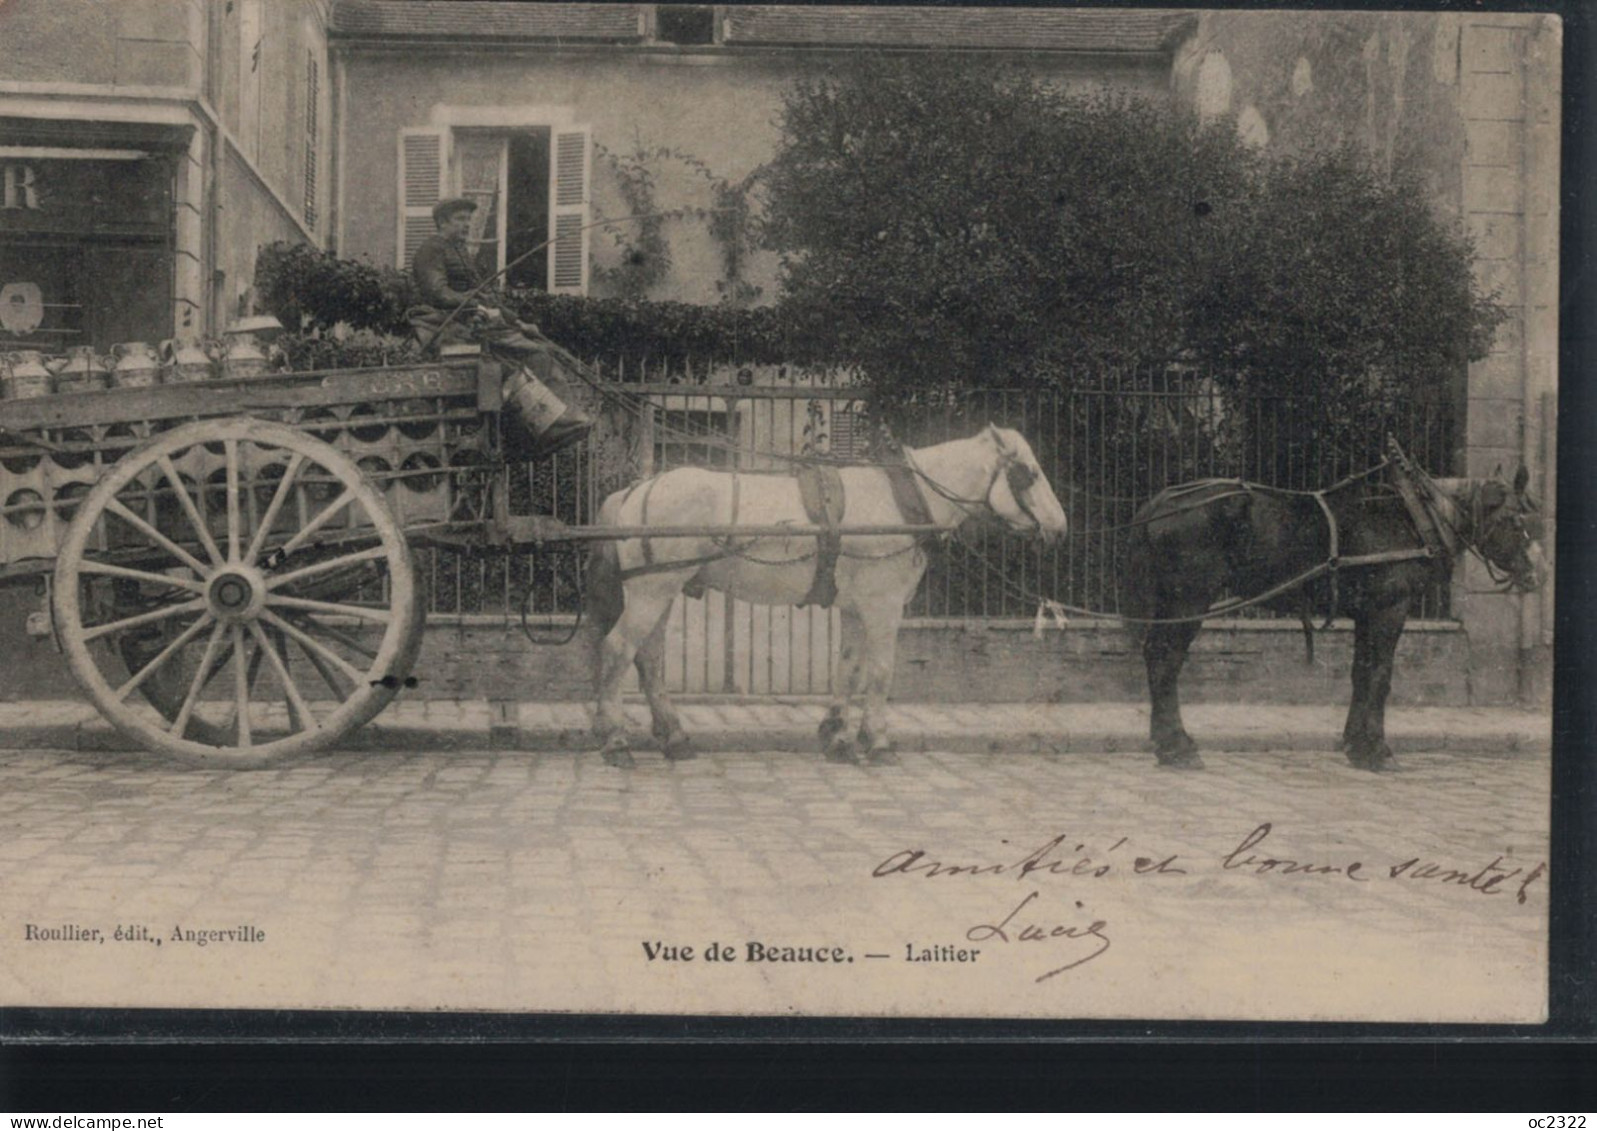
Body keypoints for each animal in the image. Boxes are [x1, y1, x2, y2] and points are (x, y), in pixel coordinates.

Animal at [584, 424, 1060, 769]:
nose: (1060, 525)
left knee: (649, 657)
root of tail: (635, 490)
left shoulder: (854, 608)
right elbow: (880, 673)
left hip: (662, 588)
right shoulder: (882, 607)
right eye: (1029, 473)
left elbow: (848, 669)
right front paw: (878, 742)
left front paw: (838, 736)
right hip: (650, 590)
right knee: (619, 649)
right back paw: (616, 741)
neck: (902, 502)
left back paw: (675, 738)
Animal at [1124, 447, 1545, 773]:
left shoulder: (1367, 614)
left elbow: (1361, 675)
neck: (1415, 516)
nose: (1538, 574)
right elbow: (1380, 677)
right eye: (1515, 520)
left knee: (1156, 656)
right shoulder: (1390, 610)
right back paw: (1177, 747)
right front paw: (1378, 751)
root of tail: (1161, 502)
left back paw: (1167, 744)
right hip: (1189, 598)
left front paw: (1355, 746)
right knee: (1165, 659)